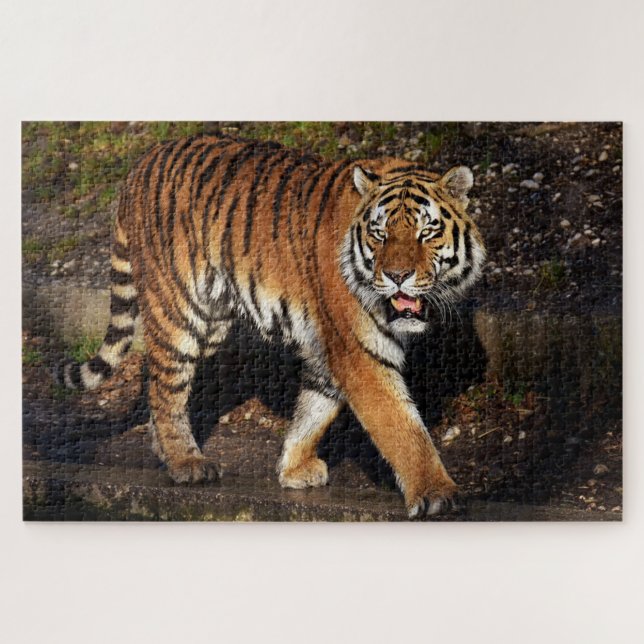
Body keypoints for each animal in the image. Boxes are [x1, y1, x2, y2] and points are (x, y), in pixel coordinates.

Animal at [57, 134, 486, 519]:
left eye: (426, 232)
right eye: (380, 234)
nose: (397, 276)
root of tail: (141, 164)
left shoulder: (329, 349)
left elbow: (315, 409)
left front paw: (293, 468)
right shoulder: (360, 351)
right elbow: (401, 427)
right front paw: (436, 494)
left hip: (212, 324)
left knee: (159, 383)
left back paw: (166, 451)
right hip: (177, 311)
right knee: (167, 386)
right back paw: (185, 463)